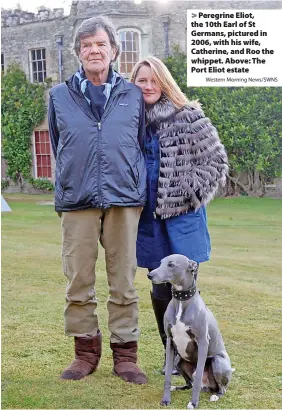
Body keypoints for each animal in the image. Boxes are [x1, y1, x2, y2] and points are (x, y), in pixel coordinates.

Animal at [149, 255, 232, 408]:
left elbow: (198, 376)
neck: (182, 301)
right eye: (160, 262)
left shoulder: (203, 342)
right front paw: (166, 399)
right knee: (189, 383)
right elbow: (168, 375)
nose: (150, 275)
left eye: (171, 264)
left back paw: (215, 396)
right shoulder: (170, 342)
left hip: (217, 362)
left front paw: (193, 403)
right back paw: (177, 387)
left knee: (220, 389)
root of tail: (208, 387)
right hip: (178, 361)